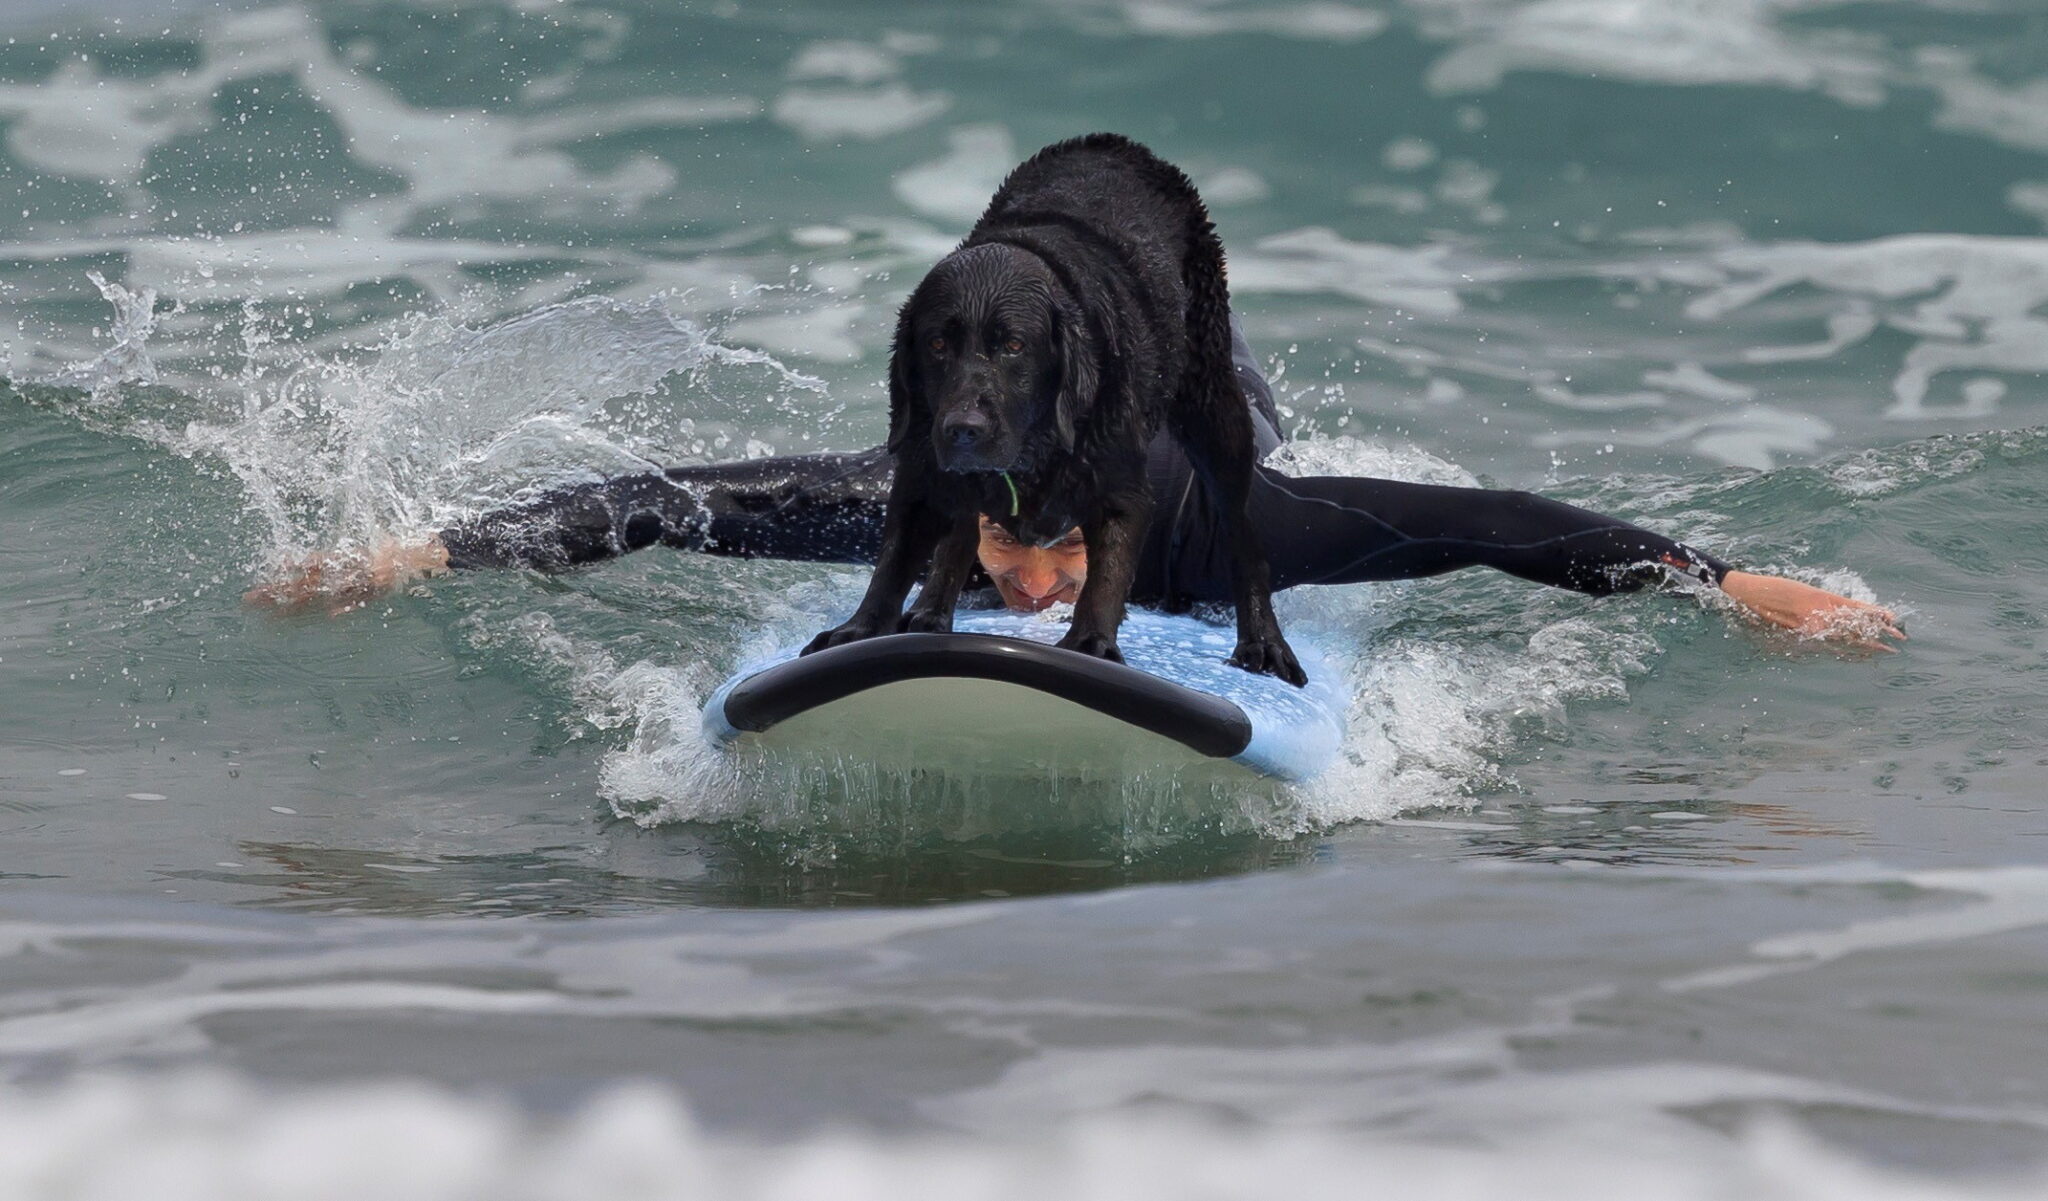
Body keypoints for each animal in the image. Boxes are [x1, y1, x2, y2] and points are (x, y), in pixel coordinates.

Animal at [802, 133, 1310, 684]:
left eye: (1014, 346)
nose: (963, 429)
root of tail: (1118, 143)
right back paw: (931, 611)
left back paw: (1263, 641)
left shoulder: (1121, 488)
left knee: (1241, 530)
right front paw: (859, 630)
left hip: (1213, 402)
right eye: (937, 344)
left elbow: (1106, 576)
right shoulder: (922, 471)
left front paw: (1088, 644)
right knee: (960, 534)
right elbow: (894, 561)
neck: (1034, 450)